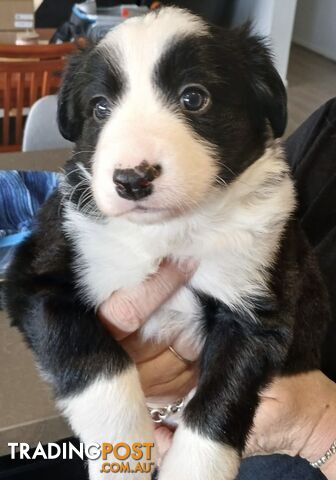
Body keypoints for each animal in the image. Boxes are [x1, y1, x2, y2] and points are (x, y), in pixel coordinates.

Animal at [3, 7, 330, 480]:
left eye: (194, 98)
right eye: (99, 108)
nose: (132, 179)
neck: (168, 230)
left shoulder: (257, 303)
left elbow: (219, 404)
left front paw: (192, 468)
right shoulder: (36, 274)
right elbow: (96, 363)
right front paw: (121, 452)